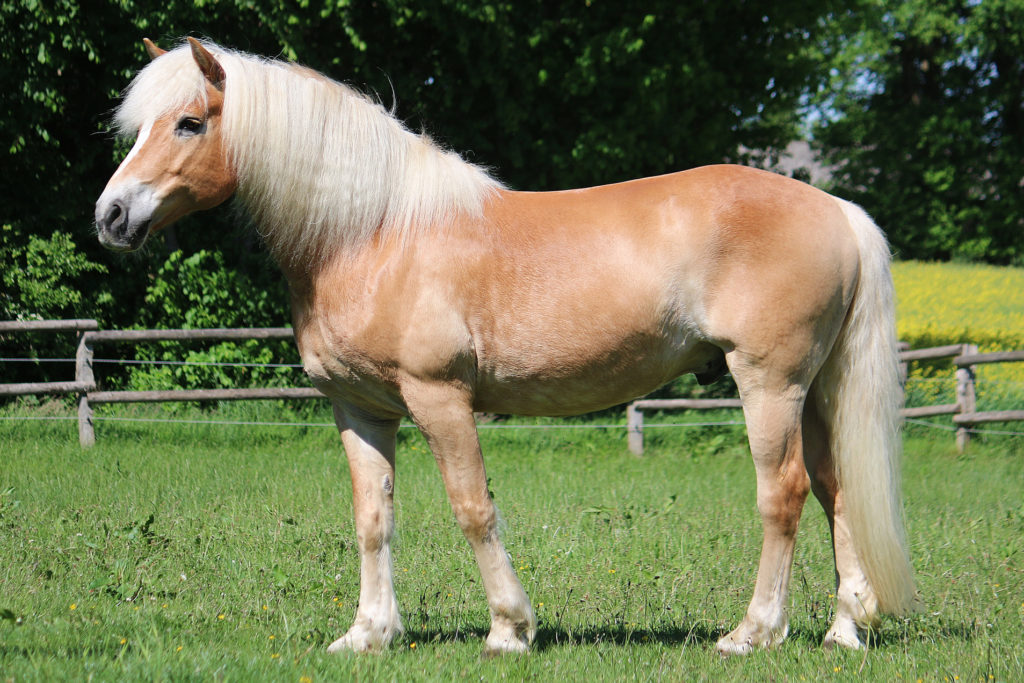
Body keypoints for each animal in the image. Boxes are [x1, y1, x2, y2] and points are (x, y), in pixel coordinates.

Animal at [95, 38, 917, 656]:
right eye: (140, 125)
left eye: (190, 122)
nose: (111, 216)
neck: (373, 233)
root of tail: (837, 210)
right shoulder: (360, 409)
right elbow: (372, 518)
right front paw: (368, 634)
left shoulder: (439, 398)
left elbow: (472, 509)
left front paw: (509, 629)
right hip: (817, 388)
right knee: (837, 489)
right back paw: (844, 630)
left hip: (768, 383)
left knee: (784, 494)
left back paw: (752, 633)